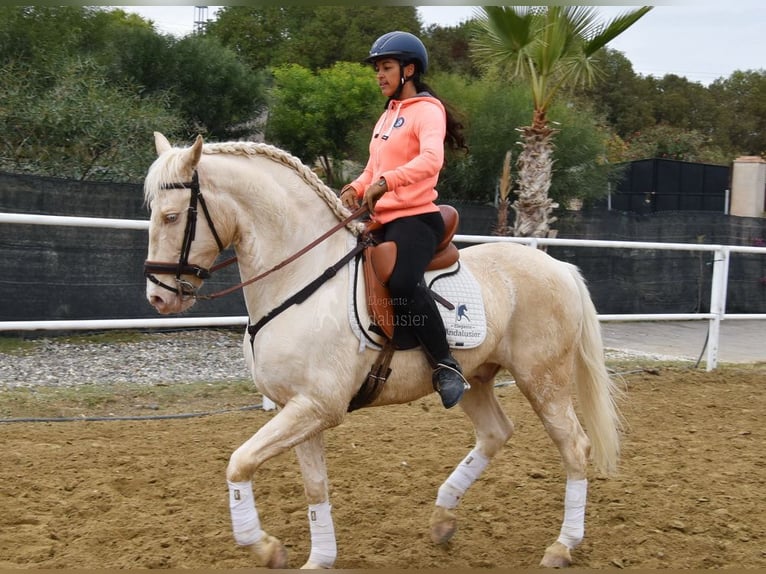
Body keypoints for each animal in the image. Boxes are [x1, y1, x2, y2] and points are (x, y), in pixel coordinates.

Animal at [144, 135, 624, 572]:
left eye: (171, 216)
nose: (158, 298)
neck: (301, 277)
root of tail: (556, 266)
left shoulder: (318, 407)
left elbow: (239, 463)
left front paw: (265, 547)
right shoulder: (297, 407)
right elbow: (314, 486)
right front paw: (318, 559)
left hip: (543, 379)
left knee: (573, 446)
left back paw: (562, 546)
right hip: (475, 378)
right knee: (495, 433)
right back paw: (442, 519)